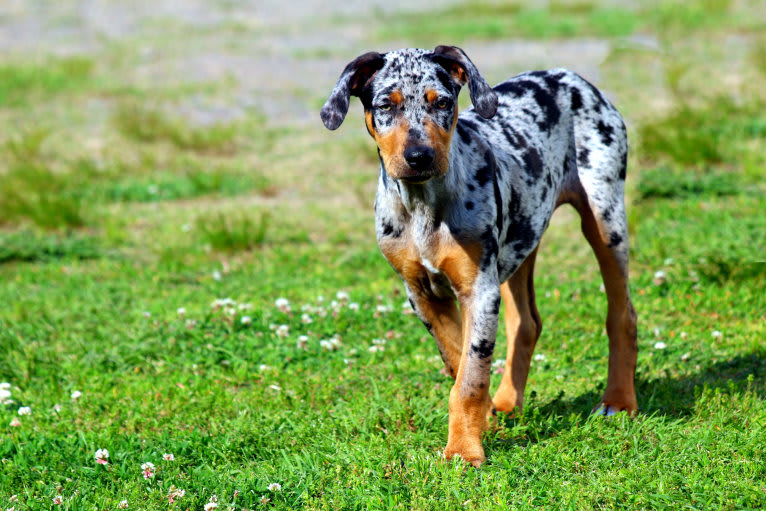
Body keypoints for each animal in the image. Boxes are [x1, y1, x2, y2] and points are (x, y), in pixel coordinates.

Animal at [320, 47, 640, 468]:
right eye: (385, 105)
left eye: (442, 102)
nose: (419, 156)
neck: (423, 206)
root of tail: (570, 76)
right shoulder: (422, 294)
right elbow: (459, 359)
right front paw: (482, 421)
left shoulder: (479, 290)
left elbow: (470, 377)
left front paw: (463, 449)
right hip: (522, 235)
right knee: (527, 322)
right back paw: (506, 403)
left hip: (604, 221)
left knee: (622, 314)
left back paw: (618, 400)